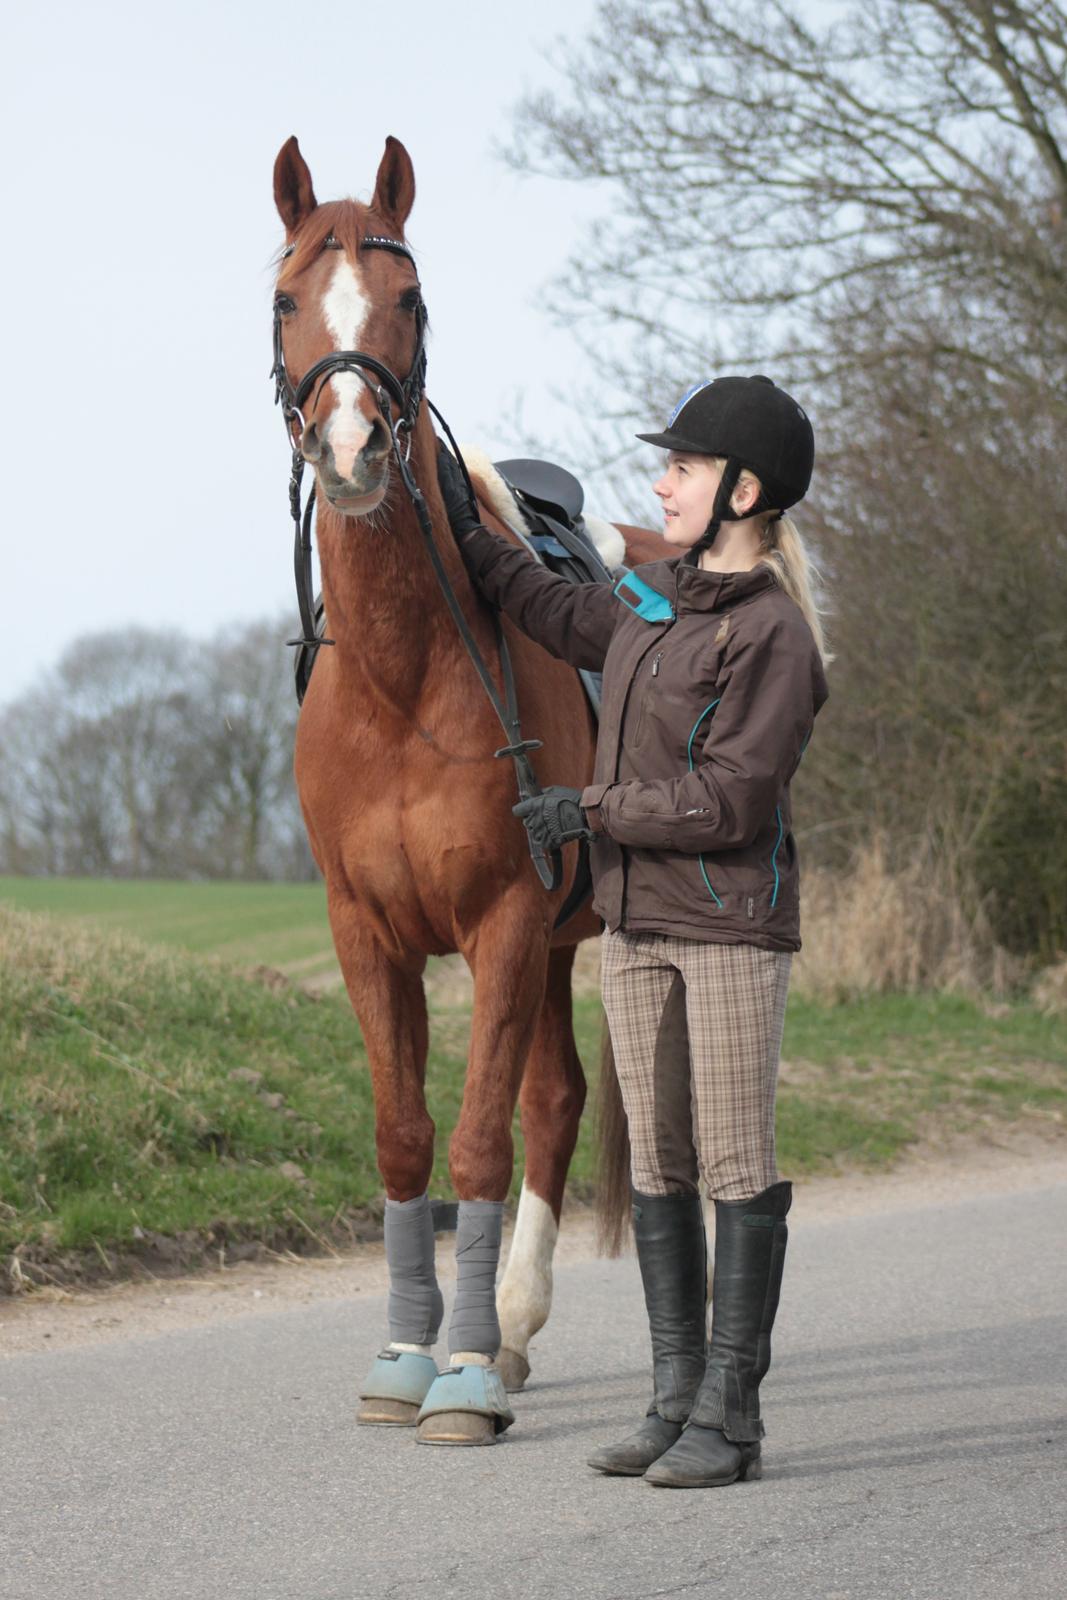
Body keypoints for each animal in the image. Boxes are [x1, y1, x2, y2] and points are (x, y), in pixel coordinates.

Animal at [271, 134, 662, 1440]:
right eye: (285, 298)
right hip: (552, 951)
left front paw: (469, 1372)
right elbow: (405, 1138)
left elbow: (482, 1143)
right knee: (560, 1098)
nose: (348, 450)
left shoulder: (500, 923)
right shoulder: (367, 932)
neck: (401, 678)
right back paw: (519, 1325)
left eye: (412, 299)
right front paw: (409, 1350)